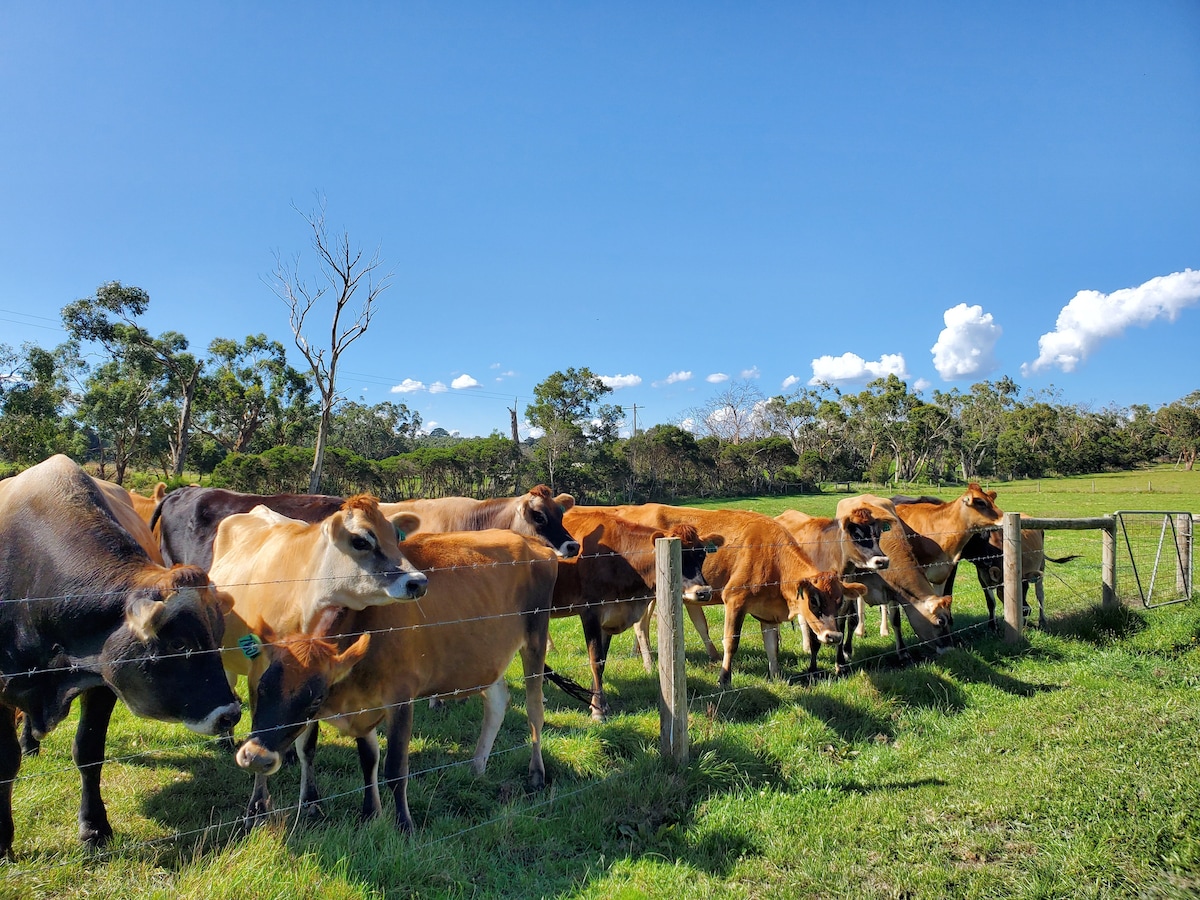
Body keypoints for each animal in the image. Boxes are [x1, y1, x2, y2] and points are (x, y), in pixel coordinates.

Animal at [0, 458, 241, 859]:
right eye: (179, 644)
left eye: (216, 637)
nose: (231, 715)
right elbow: (5, 762)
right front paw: (3, 841)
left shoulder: (101, 683)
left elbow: (88, 751)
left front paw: (94, 828)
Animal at [556, 511, 715, 724]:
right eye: (679, 557)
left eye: (702, 555)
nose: (703, 592)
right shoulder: (590, 611)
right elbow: (595, 659)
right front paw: (598, 709)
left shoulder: (609, 618)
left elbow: (602, 661)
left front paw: (596, 700)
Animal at [600, 504, 864, 686]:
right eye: (813, 602)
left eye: (839, 602)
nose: (834, 637)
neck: (773, 556)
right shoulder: (735, 601)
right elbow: (731, 642)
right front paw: (724, 678)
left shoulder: (767, 613)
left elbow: (772, 646)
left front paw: (777, 675)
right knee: (641, 625)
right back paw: (649, 663)